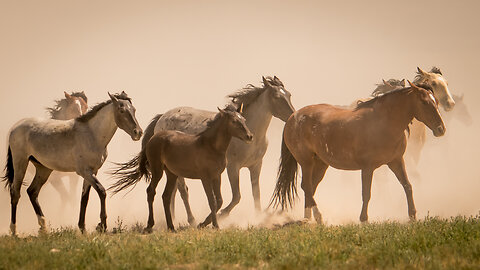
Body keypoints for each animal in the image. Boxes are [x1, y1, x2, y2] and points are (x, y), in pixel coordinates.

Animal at [1, 92, 142, 235]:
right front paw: (102, 225)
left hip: (43, 169)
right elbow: (101, 191)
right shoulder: (84, 171)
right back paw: (14, 231)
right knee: (15, 192)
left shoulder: (92, 171)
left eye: (134, 110)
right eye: (121, 110)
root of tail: (15, 127)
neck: (92, 134)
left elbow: (84, 198)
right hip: (20, 162)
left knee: (32, 192)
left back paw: (44, 227)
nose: (138, 132)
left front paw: (83, 227)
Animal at [110, 105, 253, 232]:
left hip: (171, 174)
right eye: (234, 121)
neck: (210, 146)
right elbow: (211, 201)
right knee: (151, 191)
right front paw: (214, 225)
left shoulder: (217, 176)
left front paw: (205, 224)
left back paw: (171, 227)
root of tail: (153, 138)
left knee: (166, 195)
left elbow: (219, 200)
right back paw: (150, 225)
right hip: (157, 171)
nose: (249, 136)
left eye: (244, 119)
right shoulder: (205, 177)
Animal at [270, 81, 446, 224]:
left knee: (310, 187)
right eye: (424, 102)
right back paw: (318, 217)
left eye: (436, 101)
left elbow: (407, 186)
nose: (441, 129)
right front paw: (363, 219)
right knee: (307, 185)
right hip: (306, 161)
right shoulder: (368, 167)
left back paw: (308, 218)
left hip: (320, 163)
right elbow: (366, 193)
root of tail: (293, 117)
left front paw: (413, 216)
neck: (383, 123)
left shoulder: (396, 161)